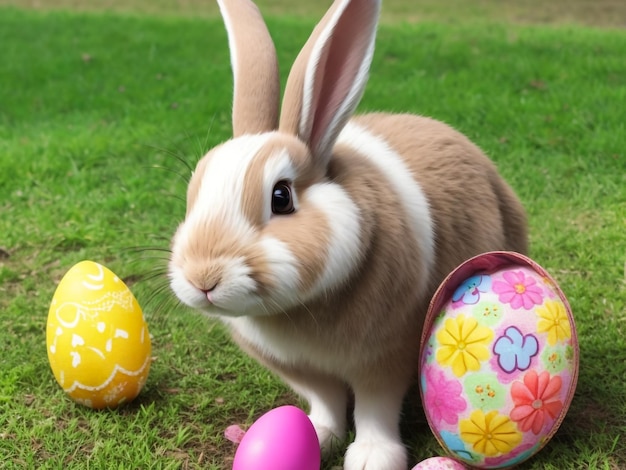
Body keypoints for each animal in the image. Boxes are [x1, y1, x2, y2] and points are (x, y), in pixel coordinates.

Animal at [167, 0, 528, 470]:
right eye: (194, 193)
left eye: (281, 197)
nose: (202, 279)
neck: (297, 310)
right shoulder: (302, 370)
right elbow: (326, 402)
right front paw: (318, 436)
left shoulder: (386, 356)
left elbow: (376, 409)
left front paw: (372, 458)